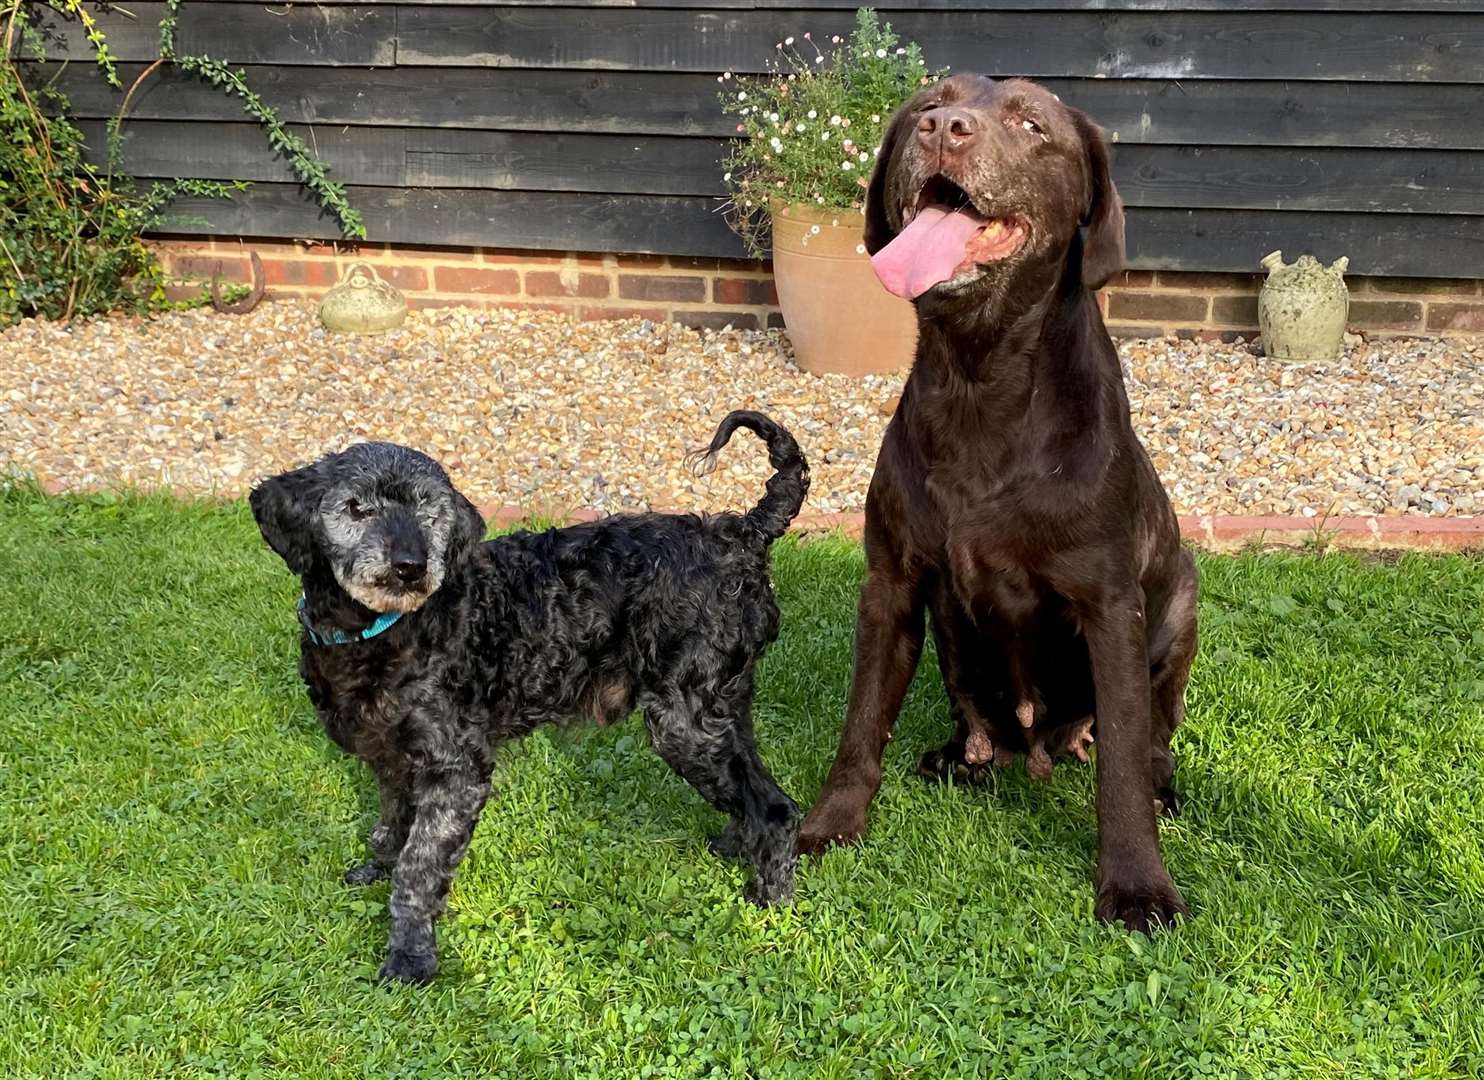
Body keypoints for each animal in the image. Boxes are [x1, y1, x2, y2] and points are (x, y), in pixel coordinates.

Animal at [255, 409, 813, 985]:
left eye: (430, 512)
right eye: (356, 506)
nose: (410, 565)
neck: (379, 632)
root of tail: (743, 534)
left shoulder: (457, 769)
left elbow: (419, 865)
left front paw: (410, 956)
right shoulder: (391, 759)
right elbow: (392, 826)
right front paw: (376, 868)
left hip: (684, 721)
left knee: (777, 808)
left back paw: (769, 902)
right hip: (721, 705)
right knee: (751, 786)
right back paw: (737, 846)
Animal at [801, 73, 1193, 937]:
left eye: (1030, 123)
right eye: (925, 105)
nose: (945, 129)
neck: (980, 382)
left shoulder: (1110, 608)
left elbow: (1120, 763)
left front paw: (1136, 884)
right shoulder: (890, 586)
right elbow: (859, 723)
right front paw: (829, 824)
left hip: (1182, 605)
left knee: (1153, 735)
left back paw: (1160, 784)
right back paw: (960, 754)